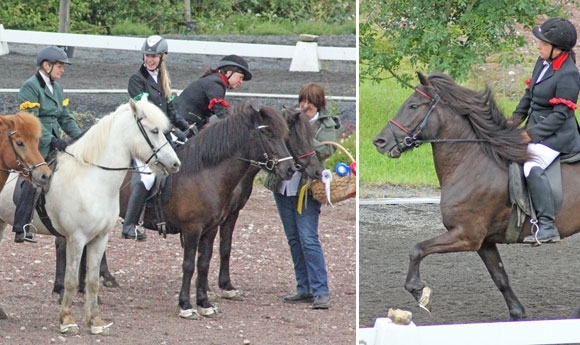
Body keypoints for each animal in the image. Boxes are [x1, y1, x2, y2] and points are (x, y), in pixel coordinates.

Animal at [0, 97, 180, 334]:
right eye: (155, 130)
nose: (175, 164)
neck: (92, 178)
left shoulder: (100, 238)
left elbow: (93, 280)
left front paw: (95, 321)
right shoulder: (76, 238)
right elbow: (71, 280)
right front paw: (67, 320)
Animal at [370, 71, 580, 318]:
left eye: (413, 105)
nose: (379, 142)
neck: (470, 162)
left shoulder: (466, 235)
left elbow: (417, 249)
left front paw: (419, 292)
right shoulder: (483, 242)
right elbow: (500, 278)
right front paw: (517, 313)